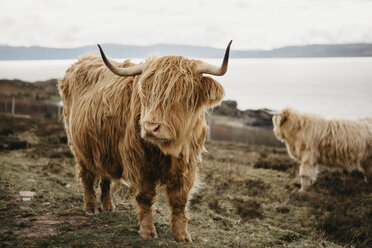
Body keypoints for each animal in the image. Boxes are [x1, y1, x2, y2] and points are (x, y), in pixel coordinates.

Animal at [58, 41, 231, 242]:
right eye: (145, 93)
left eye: (183, 93)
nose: (150, 128)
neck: (169, 149)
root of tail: (82, 61)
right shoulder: (139, 163)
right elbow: (145, 197)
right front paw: (147, 232)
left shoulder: (187, 166)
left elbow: (180, 201)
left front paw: (182, 235)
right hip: (79, 148)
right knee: (87, 176)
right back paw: (91, 208)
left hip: (104, 148)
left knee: (105, 177)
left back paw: (108, 207)